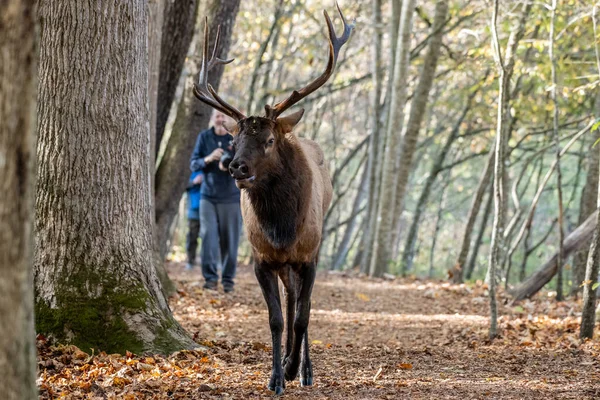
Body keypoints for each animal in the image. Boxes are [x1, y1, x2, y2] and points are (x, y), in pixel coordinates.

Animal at [192, 3, 352, 396]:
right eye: (234, 139)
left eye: (267, 140)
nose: (236, 166)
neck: (282, 227)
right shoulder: (261, 258)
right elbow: (277, 319)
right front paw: (276, 376)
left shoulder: (309, 255)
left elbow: (303, 317)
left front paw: (295, 369)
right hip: (282, 264)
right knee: (292, 299)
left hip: (310, 250)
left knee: (303, 305)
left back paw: (305, 368)